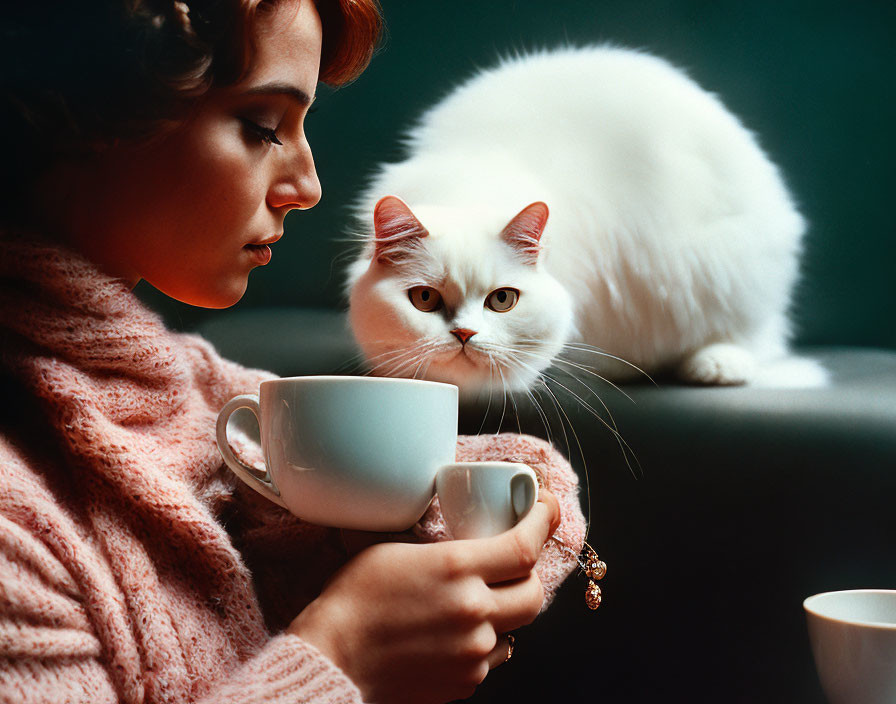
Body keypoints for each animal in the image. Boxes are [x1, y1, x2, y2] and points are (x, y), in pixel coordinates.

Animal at [344, 45, 824, 396]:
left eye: (502, 301)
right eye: (424, 299)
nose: (464, 333)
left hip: (722, 275)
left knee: (749, 338)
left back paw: (715, 365)